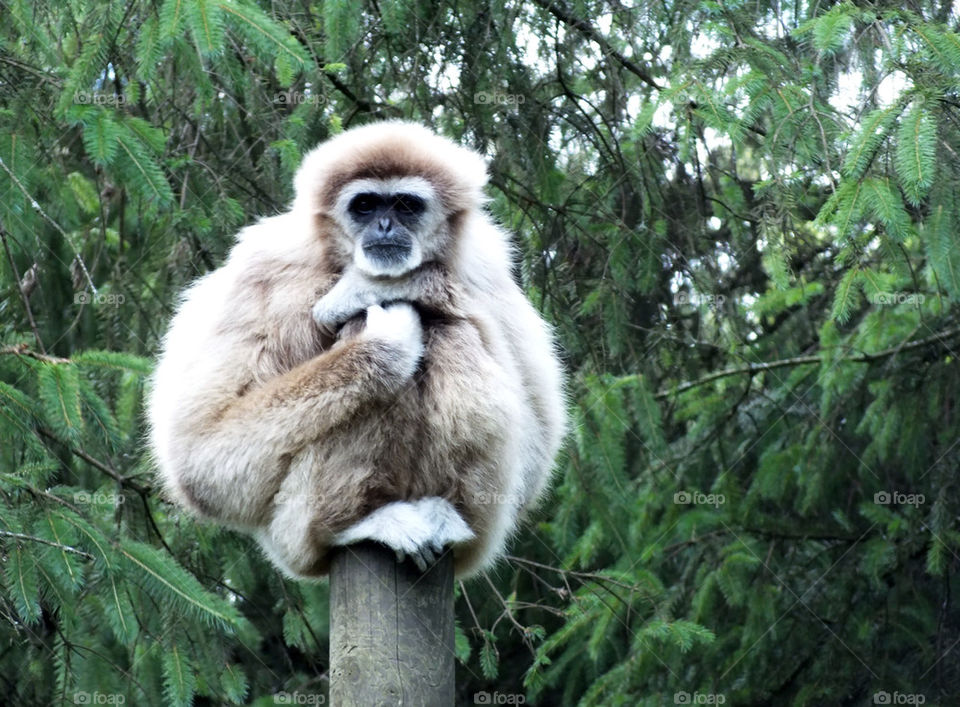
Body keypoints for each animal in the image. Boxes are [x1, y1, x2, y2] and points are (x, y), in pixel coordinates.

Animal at [147, 121, 566, 578]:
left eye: (405, 205)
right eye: (364, 205)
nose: (383, 226)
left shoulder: (486, 267)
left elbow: (539, 442)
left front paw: (406, 283)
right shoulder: (263, 268)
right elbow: (200, 459)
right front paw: (380, 328)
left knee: (452, 329)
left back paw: (445, 516)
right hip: (290, 533)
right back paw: (357, 522)